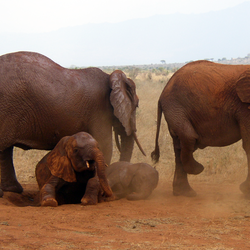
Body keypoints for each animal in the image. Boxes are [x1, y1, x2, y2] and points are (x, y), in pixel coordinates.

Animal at [0, 51, 145, 195]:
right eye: (137, 105)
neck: (110, 77)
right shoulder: (100, 110)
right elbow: (104, 145)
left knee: (5, 150)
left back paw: (13, 190)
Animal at [151, 60, 250, 197]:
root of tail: (162, 92)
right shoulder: (244, 107)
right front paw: (246, 192)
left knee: (179, 146)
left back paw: (184, 192)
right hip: (176, 108)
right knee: (189, 138)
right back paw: (198, 170)